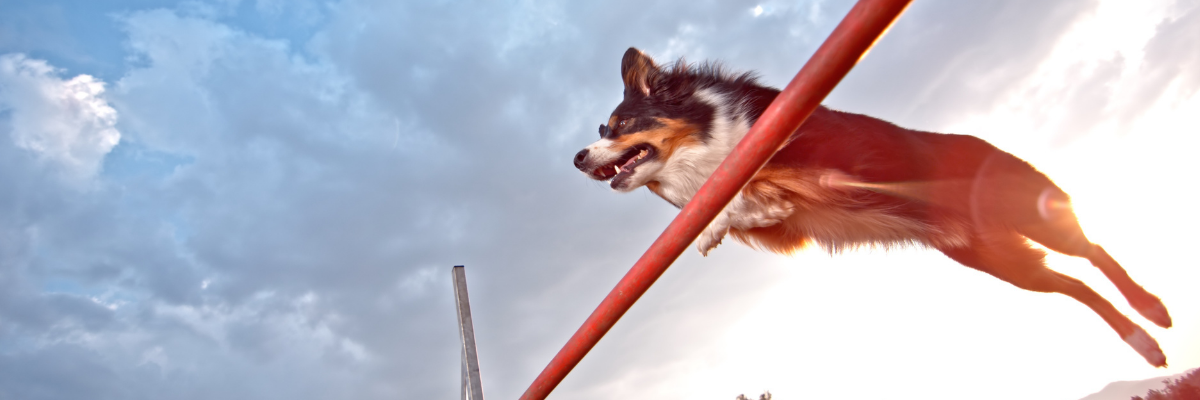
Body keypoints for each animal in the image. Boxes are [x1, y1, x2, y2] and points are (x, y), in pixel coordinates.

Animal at [571, 47, 1171, 365]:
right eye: (602, 129)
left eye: (621, 124)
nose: (577, 158)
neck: (710, 139)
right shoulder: (794, 228)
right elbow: (758, 209)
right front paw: (734, 217)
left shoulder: (821, 164)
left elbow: (757, 184)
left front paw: (717, 222)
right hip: (999, 260)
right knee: (1073, 283)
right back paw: (1143, 342)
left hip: (1025, 210)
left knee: (1092, 249)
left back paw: (1151, 309)